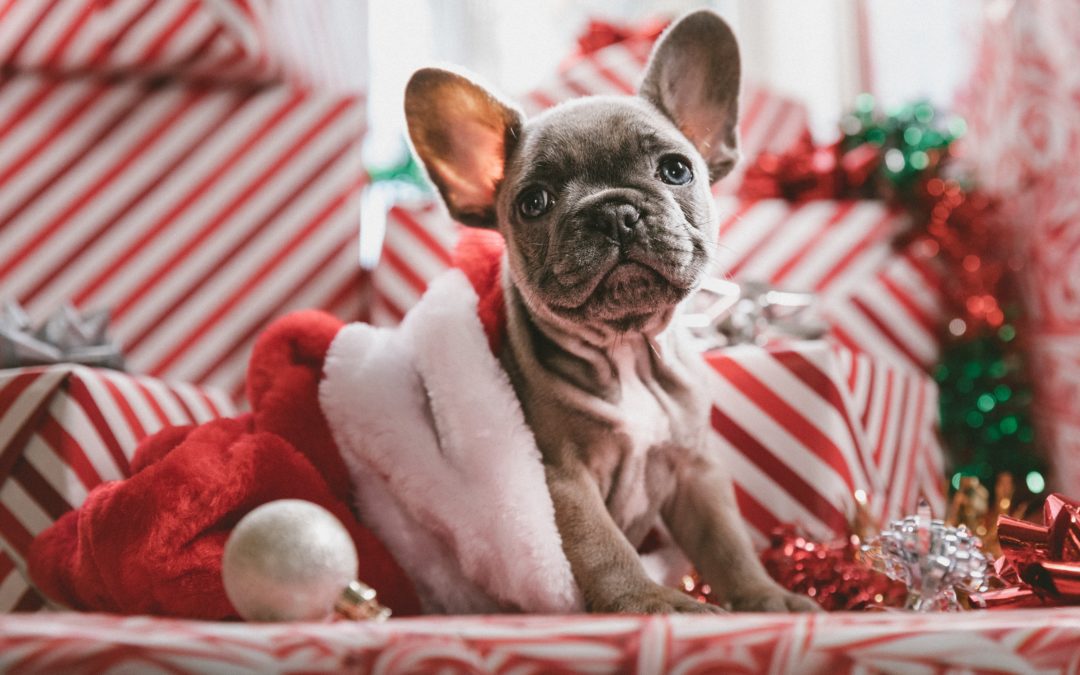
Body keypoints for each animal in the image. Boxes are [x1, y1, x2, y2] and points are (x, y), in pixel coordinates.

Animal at [406, 10, 816, 613]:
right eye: (533, 202)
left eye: (676, 170)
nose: (614, 212)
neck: (627, 350)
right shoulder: (562, 481)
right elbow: (604, 548)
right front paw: (652, 602)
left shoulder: (695, 471)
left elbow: (728, 542)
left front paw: (766, 598)